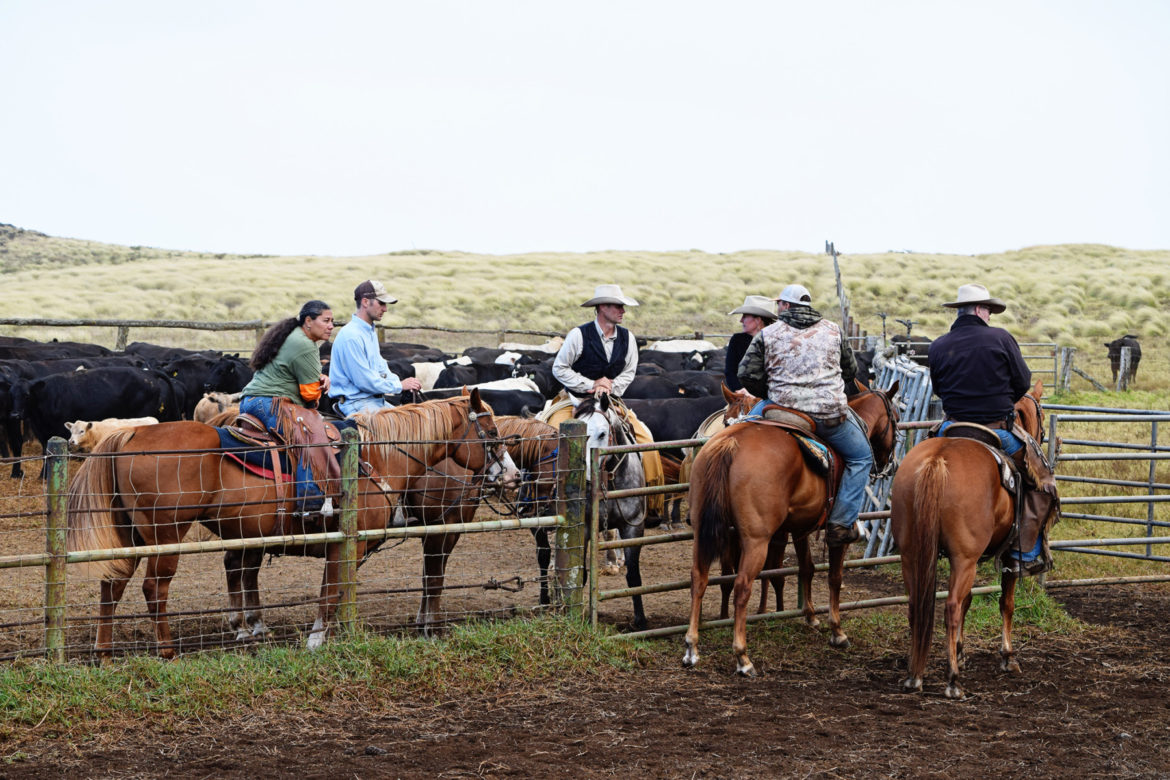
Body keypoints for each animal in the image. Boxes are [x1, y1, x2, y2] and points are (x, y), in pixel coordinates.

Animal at [66, 390, 510, 659]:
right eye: (490, 431)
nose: (510, 473)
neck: (377, 458)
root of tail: (129, 435)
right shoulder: (358, 542)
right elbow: (332, 591)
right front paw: (317, 640)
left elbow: (338, 590)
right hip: (165, 534)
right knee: (153, 589)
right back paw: (168, 651)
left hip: (131, 534)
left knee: (112, 585)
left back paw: (104, 653)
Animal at [683, 385, 898, 678]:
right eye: (896, 418)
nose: (891, 464)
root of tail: (731, 444)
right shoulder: (837, 533)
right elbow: (834, 577)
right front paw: (837, 631)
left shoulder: (800, 528)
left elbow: (806, 567)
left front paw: (810, 616)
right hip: (756, 541)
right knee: (742, 586)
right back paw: (743, 657)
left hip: (703, 534)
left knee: (699, 579)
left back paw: (692, 648)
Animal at [889, 378, 1048, 696]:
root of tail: (937, 460)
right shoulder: (1005, 556)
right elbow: (1006, 603)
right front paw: (1007, 656)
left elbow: (969, 601)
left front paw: (961, 652)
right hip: (965, 558)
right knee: (950, 606)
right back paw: (952, 681)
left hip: (912, 553)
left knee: (916, 604)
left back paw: (914, 674)